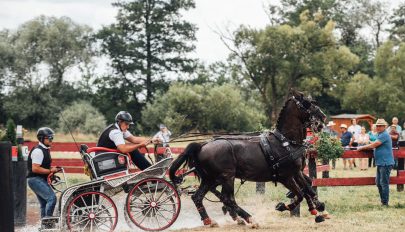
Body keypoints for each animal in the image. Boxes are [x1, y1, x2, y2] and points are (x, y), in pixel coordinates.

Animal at [169, 89, 326, 227]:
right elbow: (300, 193)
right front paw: (284, 206)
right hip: (227, 177)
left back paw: (210, 220)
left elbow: (308, 186)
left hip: (210, 179)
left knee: (198, 197)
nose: (323, 117)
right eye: (308, 103)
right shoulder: (286, 176)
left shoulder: (296, 172)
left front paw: (316, 208)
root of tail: (202, 146)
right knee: (228, 199)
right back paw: (249, 219)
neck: (285, 141)